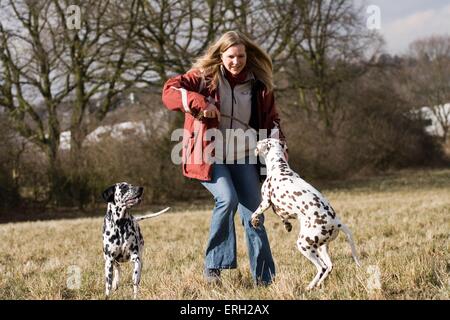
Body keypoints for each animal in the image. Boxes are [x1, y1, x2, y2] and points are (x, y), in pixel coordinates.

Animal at [251, 138, 360, 290]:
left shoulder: (266, 201)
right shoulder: (281, 209)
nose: (255, 143)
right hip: (321, 247)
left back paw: (309, 286)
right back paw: (318, 284)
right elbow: (283, 217)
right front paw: (287, 226)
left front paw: (254, 221)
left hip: (304, 245)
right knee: (329, 266)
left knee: (321, 267)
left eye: (261, 141)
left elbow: (255, 212)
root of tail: (337, 222)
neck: (280, 168)